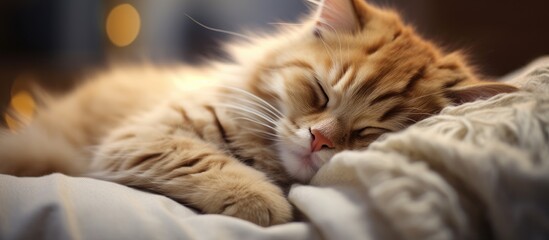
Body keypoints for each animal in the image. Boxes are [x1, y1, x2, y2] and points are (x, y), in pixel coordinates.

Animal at [0, 0, 516, 227]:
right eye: (319, 93)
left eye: (369, 131)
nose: (319, 140)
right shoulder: (147, 134)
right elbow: (207, 161)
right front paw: (264, 203)